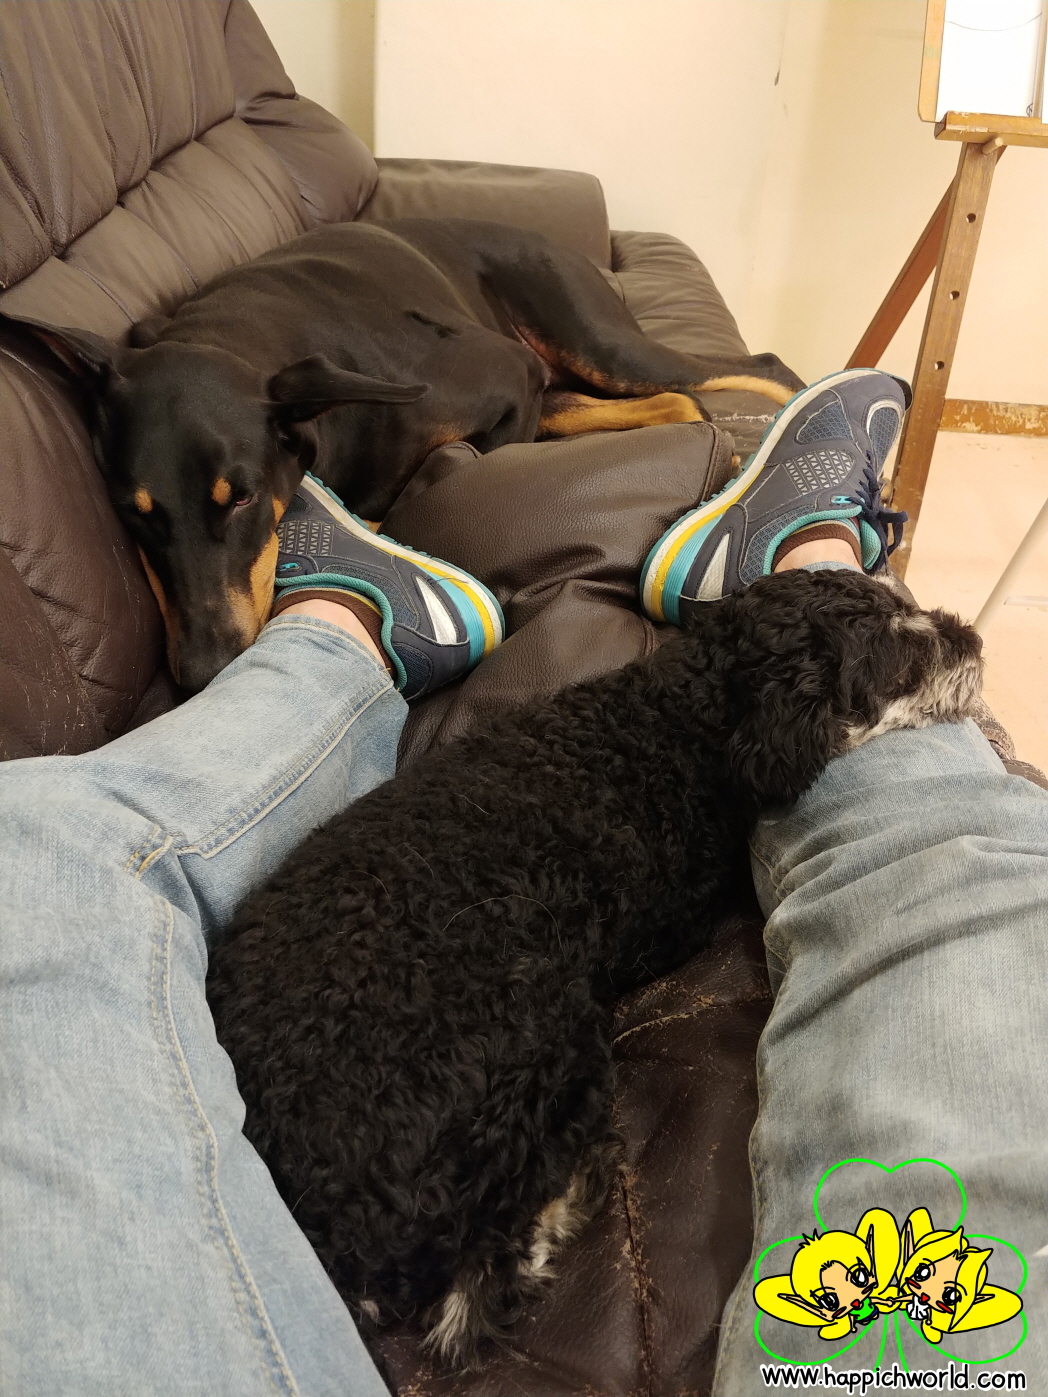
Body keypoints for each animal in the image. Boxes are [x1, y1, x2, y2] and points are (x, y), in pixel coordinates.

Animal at [5, 218, 803, 693]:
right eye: (134, 513)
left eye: (241, 497)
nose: (204, 673)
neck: (238, 336)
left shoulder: (506, 379)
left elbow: (454, 460)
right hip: (571, 382)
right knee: (683, 404)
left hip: (591, 343)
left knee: (747, 368)